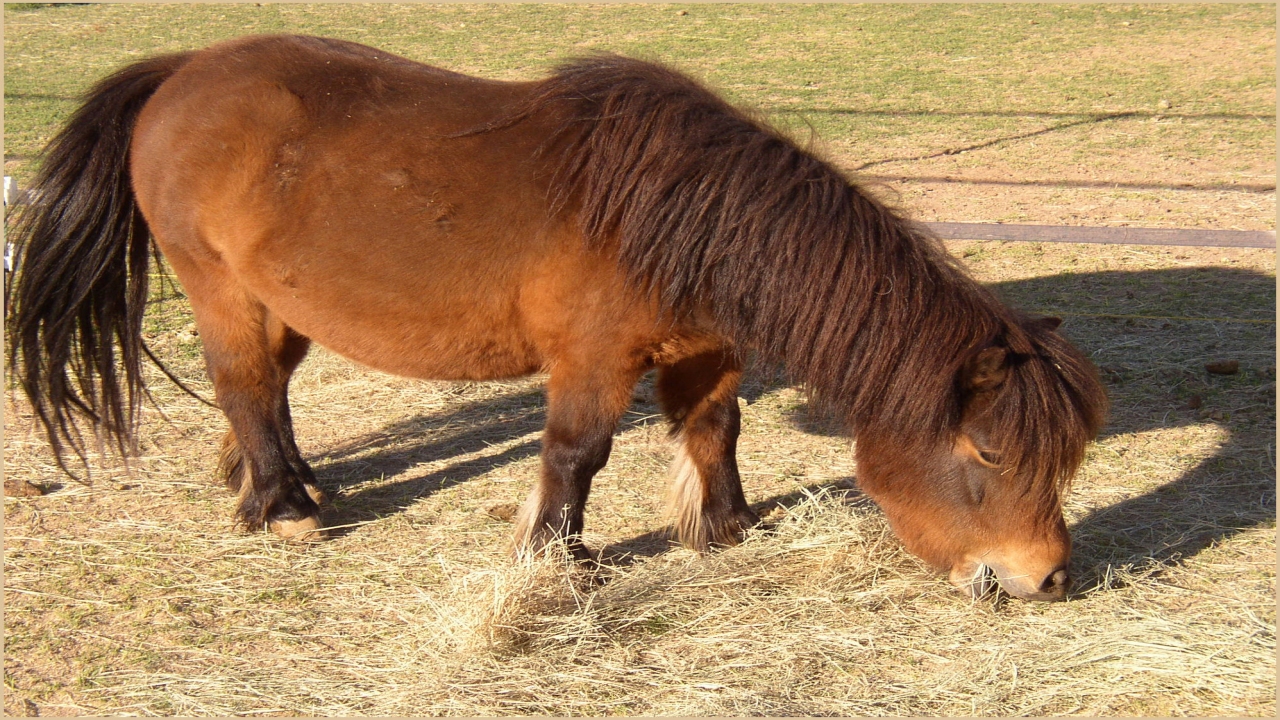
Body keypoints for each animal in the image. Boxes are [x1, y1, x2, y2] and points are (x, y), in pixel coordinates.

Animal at [7, 35, 1107, 602]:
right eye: (986, 456)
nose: (1047, 579)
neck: (682, 213)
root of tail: (183, 68)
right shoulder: (595, 357)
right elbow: (577, 453)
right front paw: (558, 560)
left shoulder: (704, 350)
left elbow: (715, 430)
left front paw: (726, 527)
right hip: (218, 289)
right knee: (242, 385)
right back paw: (282, 509)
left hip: (278, 301)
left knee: (267, 392)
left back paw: (277, 481)